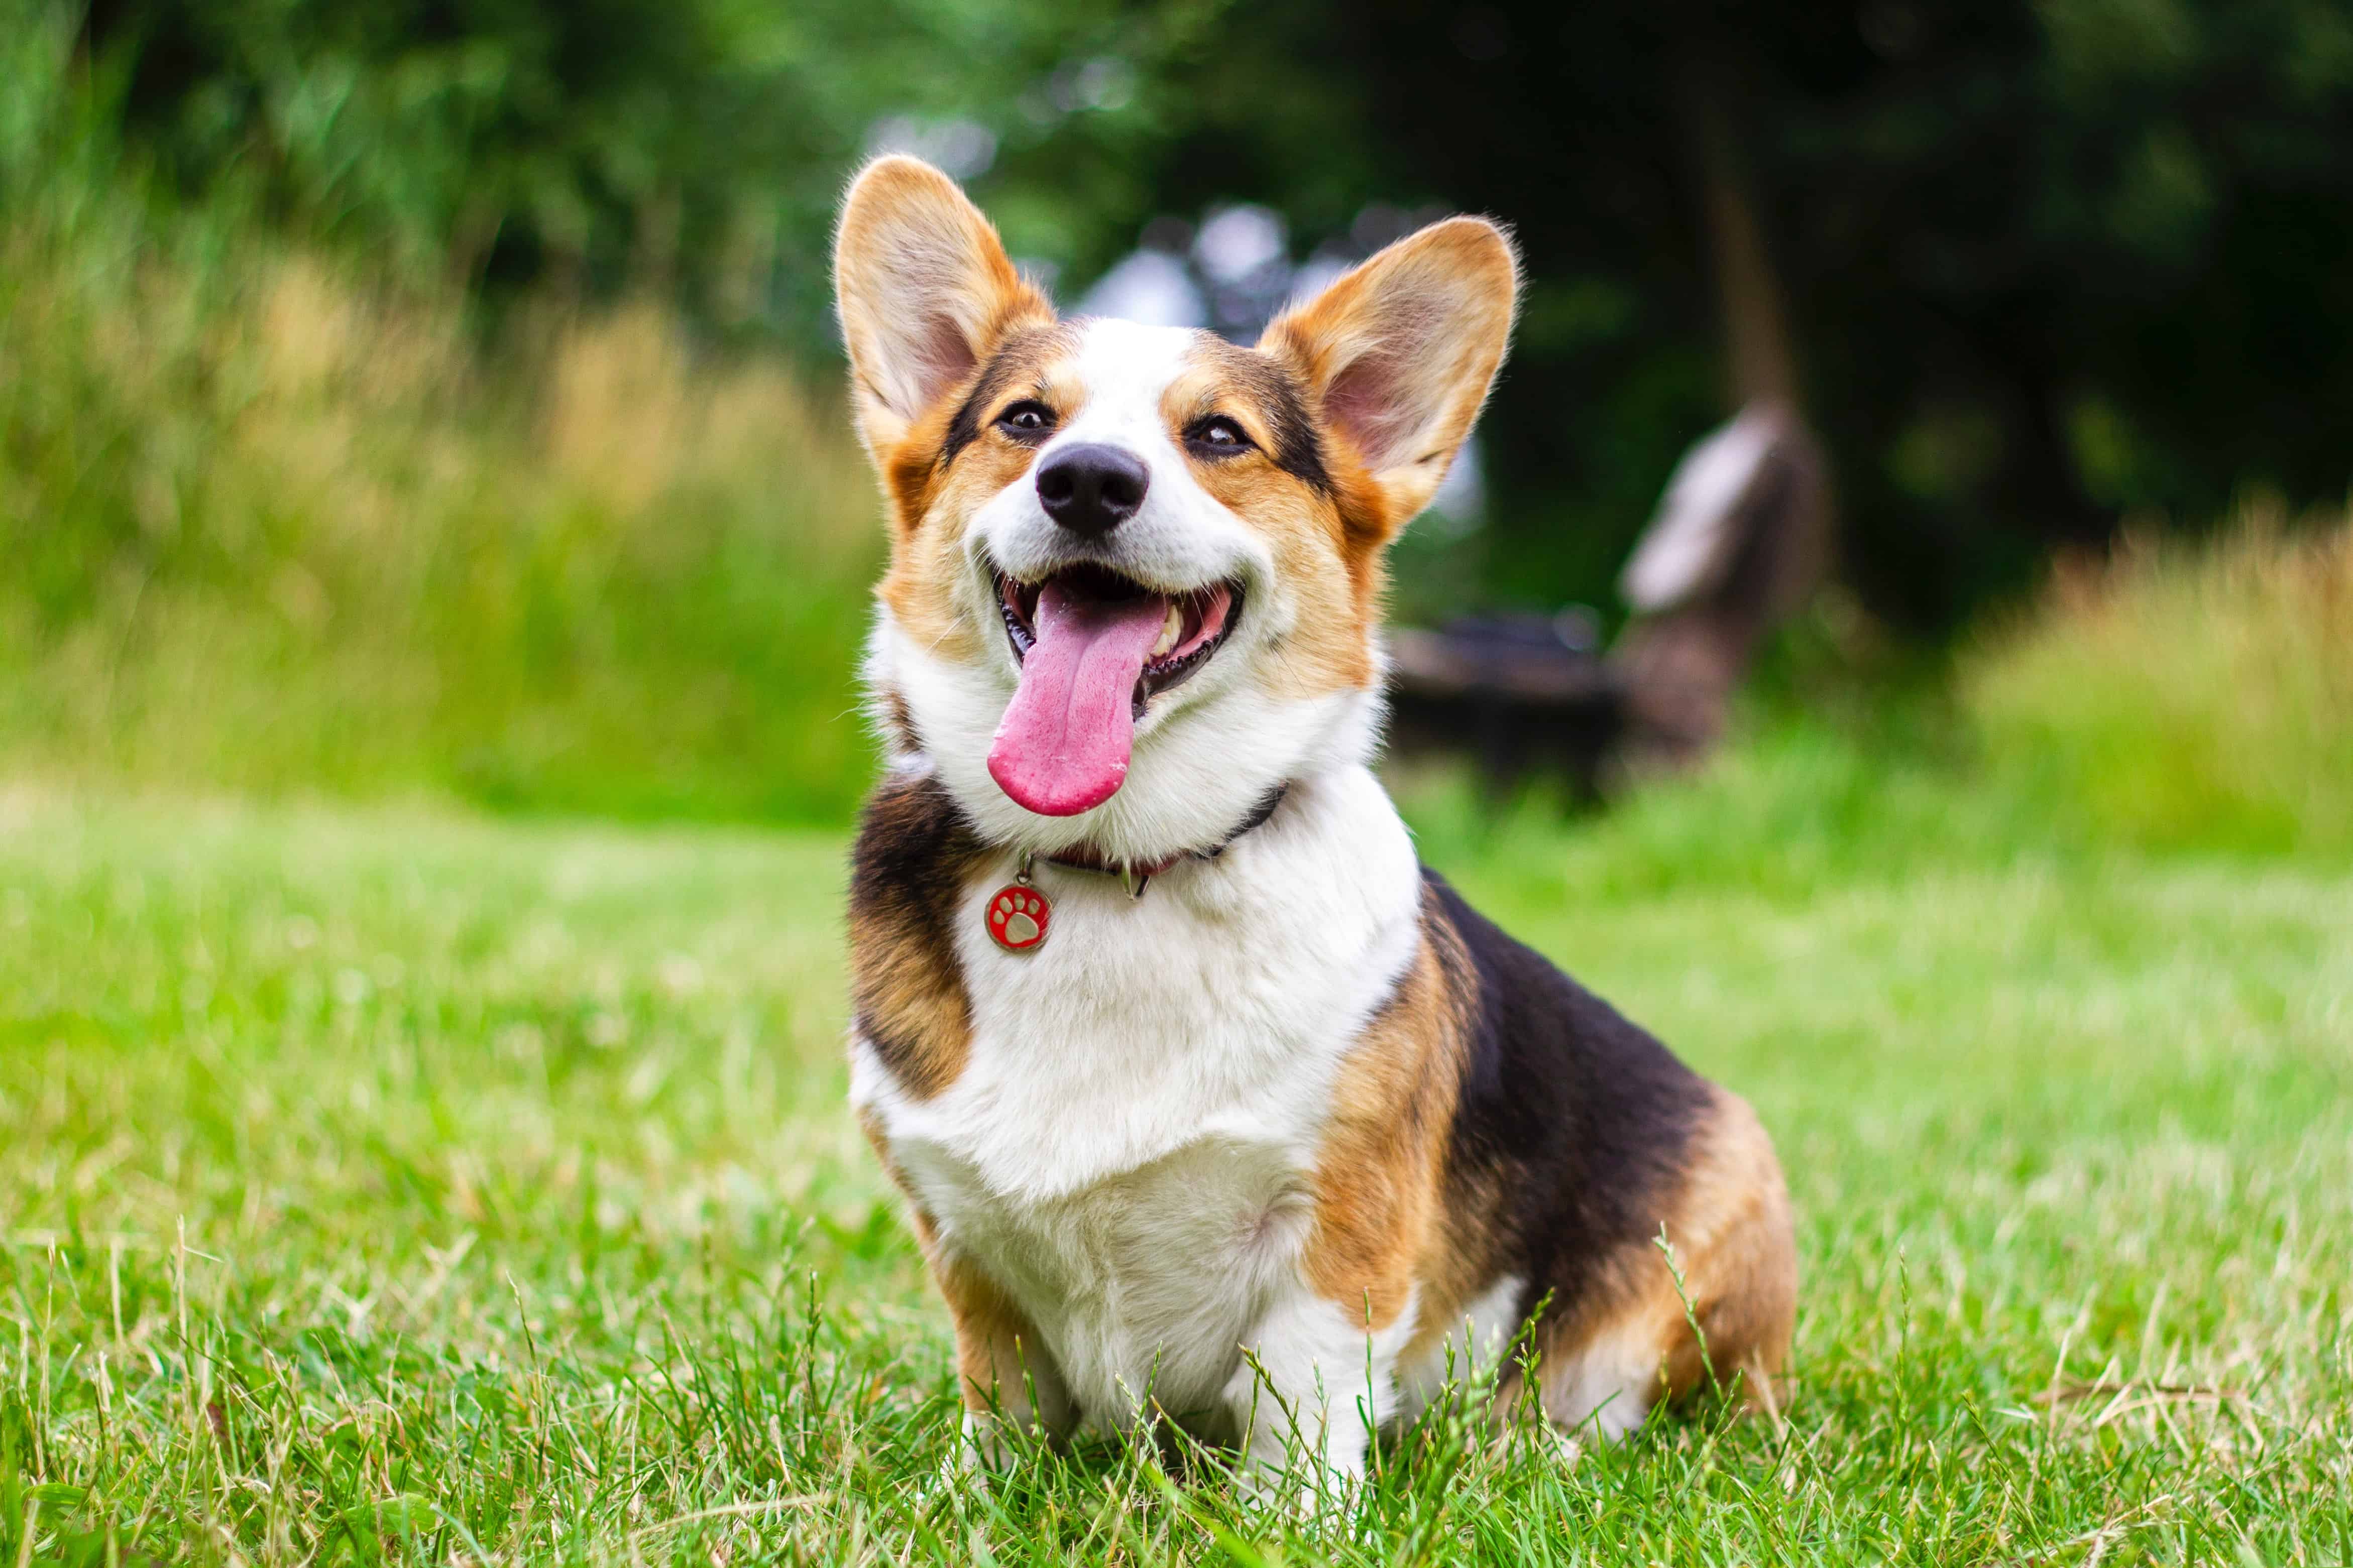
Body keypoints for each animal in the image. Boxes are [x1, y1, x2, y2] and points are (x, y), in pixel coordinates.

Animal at [837, 156, 1788, 1495]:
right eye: (1024, 422)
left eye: (1217, 437)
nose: (1086, 480)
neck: (1121, 862)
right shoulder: (966, 1249)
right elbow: (1000, 1405)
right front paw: (972, 1500)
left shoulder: (1333, 1236)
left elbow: (1299, 1418)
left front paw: (1289, 1517)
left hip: (1707, 1233)